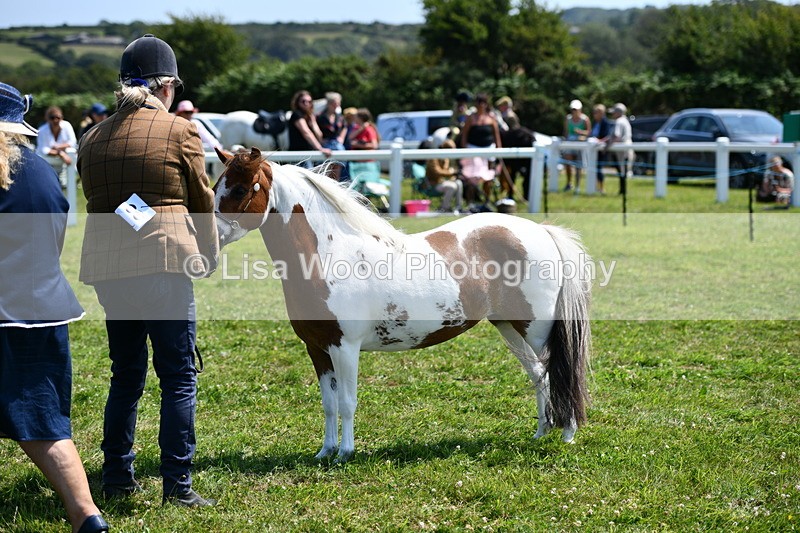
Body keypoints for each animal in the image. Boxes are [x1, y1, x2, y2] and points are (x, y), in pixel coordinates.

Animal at [212, 146, 592, 462]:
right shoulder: (317, 349)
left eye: (241, 189)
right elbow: (329, 404)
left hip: (538, 328)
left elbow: (347, 402)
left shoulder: (345, 348)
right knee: (538, 374)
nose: (211, 238)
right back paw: (541, 431)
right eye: (216, 186)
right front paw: (325, 451)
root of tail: (542, 232)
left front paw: (344, 454)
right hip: (509, 326)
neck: (329, 254)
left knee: (561, 372)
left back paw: (567, 434)